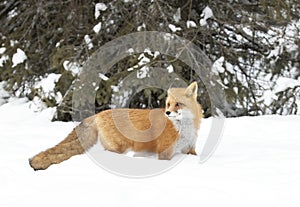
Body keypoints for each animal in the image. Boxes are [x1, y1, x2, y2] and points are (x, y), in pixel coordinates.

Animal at [29, 81, 203, 171]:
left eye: (178, 104)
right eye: (168, 104)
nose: (167, 113)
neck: (183, 129)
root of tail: (98, 114)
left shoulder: (190, 150)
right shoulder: (165, 153)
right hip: (118, 148)